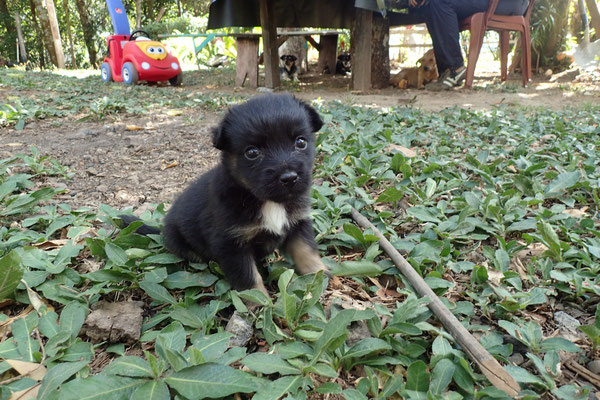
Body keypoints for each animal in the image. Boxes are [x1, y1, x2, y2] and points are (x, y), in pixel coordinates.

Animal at [121, 94, 328, 294]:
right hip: (179, 239)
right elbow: (249, 278)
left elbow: (307, 252)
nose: (289, 178)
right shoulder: (230, 243)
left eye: (300, 142)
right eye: (252, 152)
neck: (265, 200)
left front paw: (322, 276)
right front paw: (259, 301)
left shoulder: (298, 223)